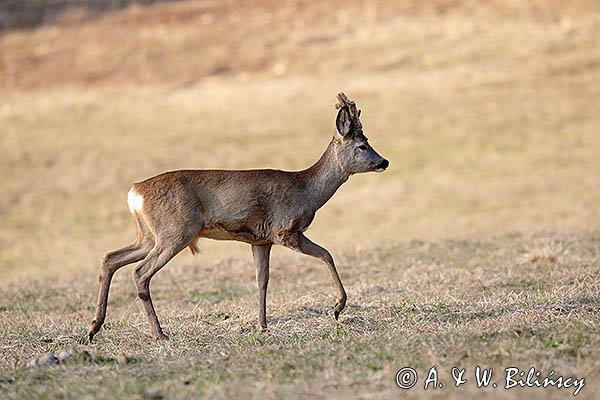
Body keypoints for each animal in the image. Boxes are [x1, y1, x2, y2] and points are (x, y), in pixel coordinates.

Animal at [88, 93, 390, 340]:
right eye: (363, 146)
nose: (384, 161)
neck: (306, 190)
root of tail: (134, 192)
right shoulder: (285, 231)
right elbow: (327, 254)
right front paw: (337, 308)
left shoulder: (261, 240)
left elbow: (262, 280)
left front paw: (262, 325)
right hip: (175, 232)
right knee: (140, 273)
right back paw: (159, 334)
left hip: (148, 236)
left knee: (110, 258)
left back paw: (93, 328)